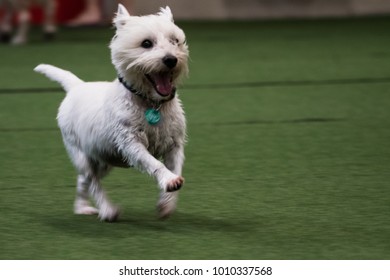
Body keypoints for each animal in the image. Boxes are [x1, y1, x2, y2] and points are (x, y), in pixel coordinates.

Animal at [34, 4, 190, 222]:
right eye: (146, 43)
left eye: (175, 41)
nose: (171, 59)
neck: (151, 103)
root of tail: (76, 86)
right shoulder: (130, 143)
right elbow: (153, 163)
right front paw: (169, 181)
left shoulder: (174, 144)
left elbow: (175, 166)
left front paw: (166, 204)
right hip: (81, 154)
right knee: (92, 181)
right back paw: (108, 210)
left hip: (103, 159)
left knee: (83, 181)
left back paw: (82, 207)